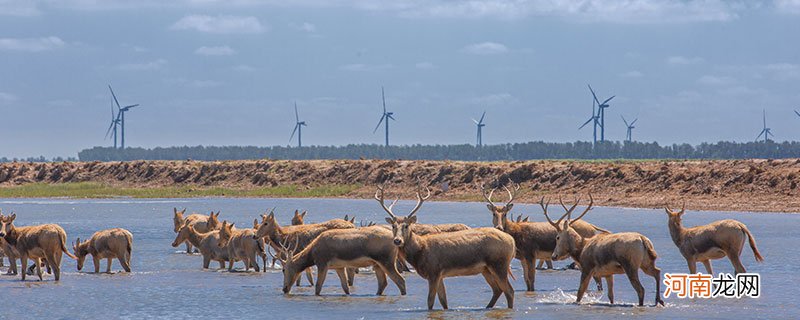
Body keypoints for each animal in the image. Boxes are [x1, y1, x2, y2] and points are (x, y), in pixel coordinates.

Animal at [376, 185, 516, 310]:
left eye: (406, 226)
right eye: (393, 226)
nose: (397, 240)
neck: (420, 251)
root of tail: (512, 241)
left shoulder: (434, 271)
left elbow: (430, 301)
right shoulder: (440, 275)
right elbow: (444, 302)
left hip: (499, 263)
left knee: (509, 291)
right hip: (486, 269)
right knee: (498, 290)